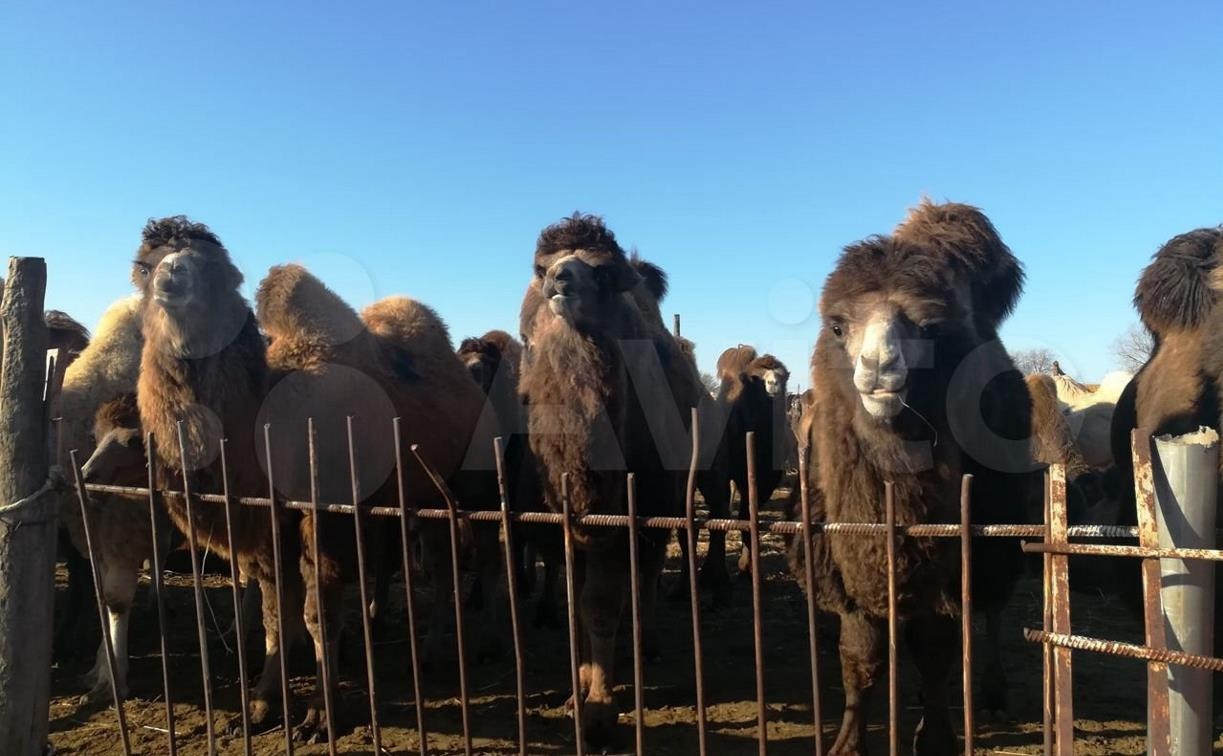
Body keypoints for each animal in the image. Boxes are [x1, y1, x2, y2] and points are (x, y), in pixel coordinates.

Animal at [518, 211, 709, 748]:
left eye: (602, 271)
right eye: (541, 267)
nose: (560, 278)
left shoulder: (623, 517)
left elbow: (601, 605)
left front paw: (600, 712)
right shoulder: (568, 522)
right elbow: (576, 603)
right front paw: (577, 691)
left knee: (645, 575)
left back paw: (647, 645)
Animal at [787, 201, 1037, 753]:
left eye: (930, 327)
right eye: (838, 327)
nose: (879, 366)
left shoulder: (946, 567)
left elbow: (936, 652)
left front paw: (937, 736)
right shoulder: (844, 565)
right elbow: (861, 657)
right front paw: (847, 742)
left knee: (992, 610)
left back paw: (995, 691)